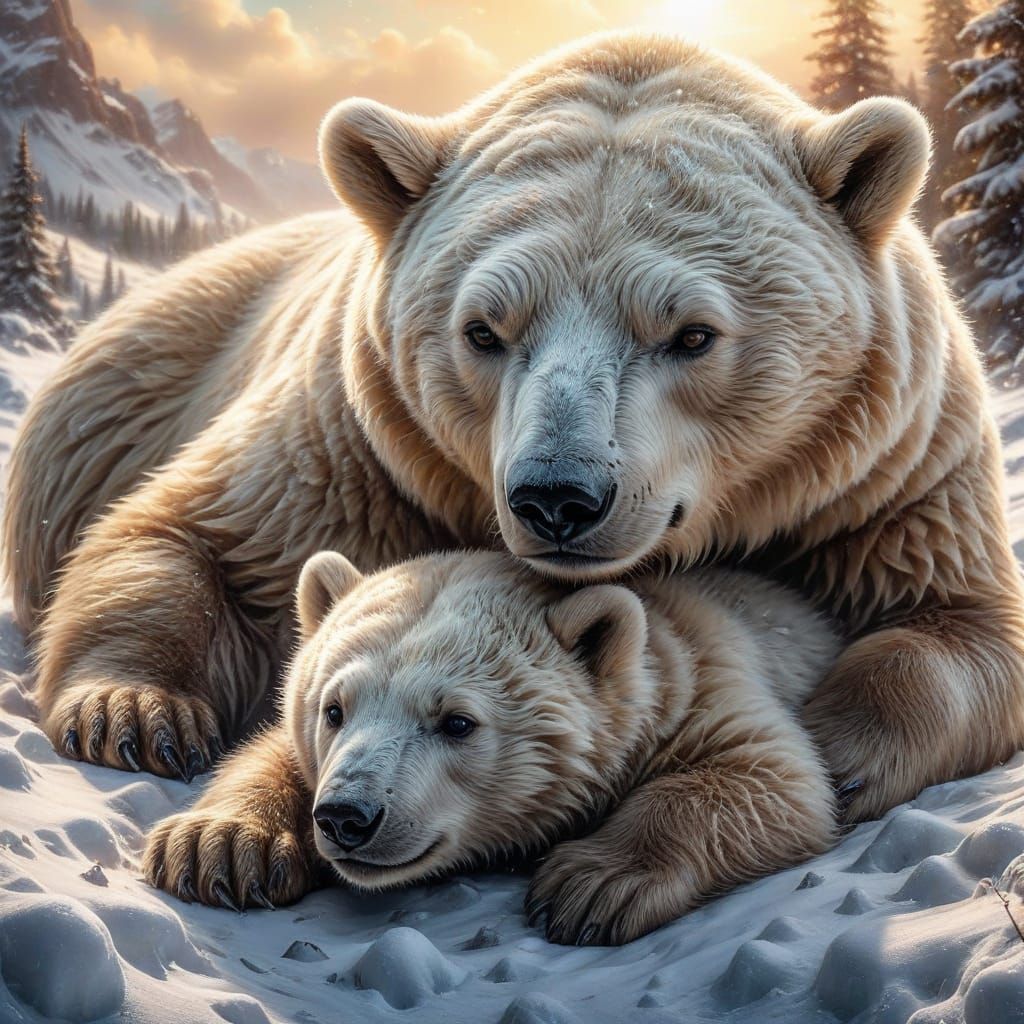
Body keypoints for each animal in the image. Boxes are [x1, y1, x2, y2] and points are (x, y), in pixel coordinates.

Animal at [5, 32, 1024, 824]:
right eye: (484, 330)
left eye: (691, 333)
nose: (558, 499)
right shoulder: (359, 446)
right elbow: (194, 537)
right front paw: (136, 711)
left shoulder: (884, 473)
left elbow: (960, 626)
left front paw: (837, 746)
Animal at [143, 550, 840, 945]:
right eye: (333, 709)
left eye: (456, 723)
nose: (347, 817)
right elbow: (272, 756)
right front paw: (219, 845)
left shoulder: (705, 679)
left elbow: (774, 778)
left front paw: (593, 884)